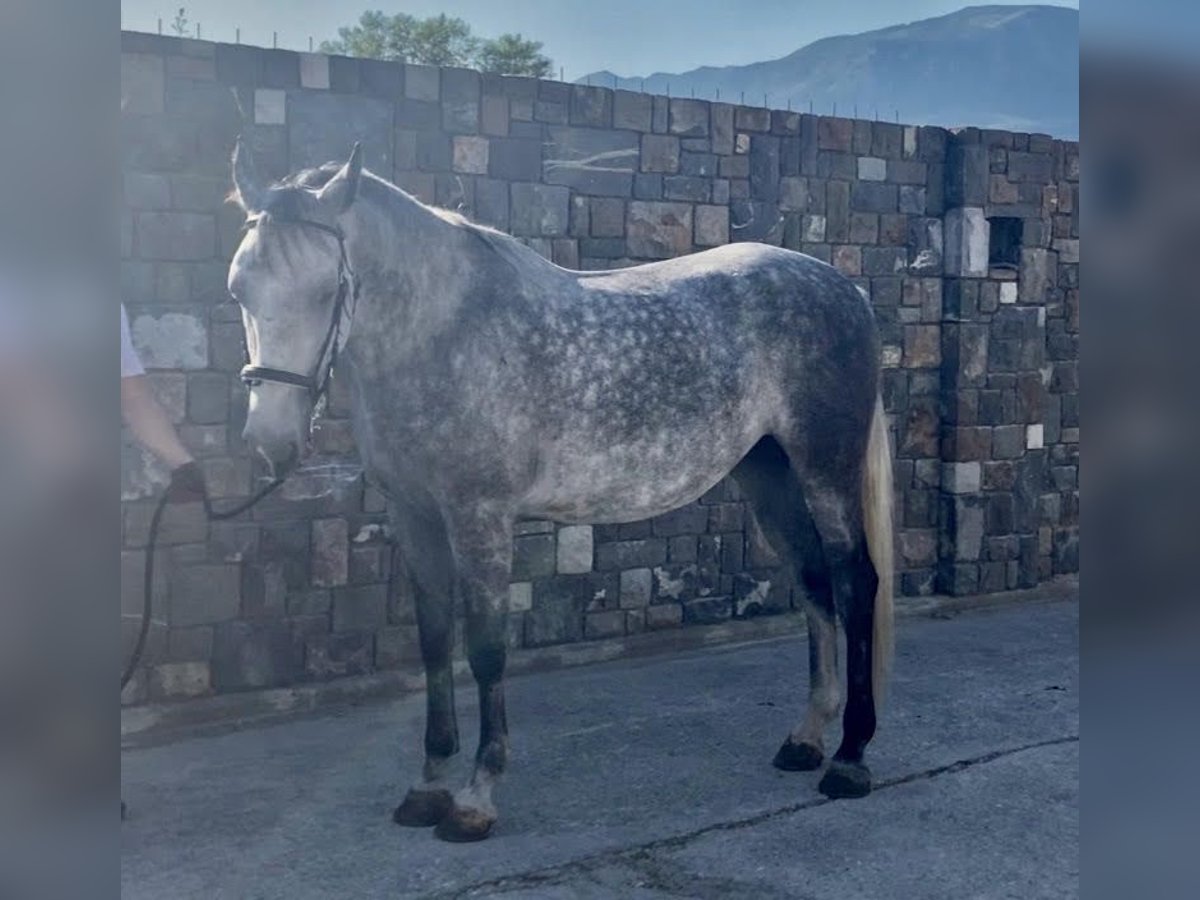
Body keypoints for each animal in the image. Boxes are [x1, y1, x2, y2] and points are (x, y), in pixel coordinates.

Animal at [229, 141, 897, 844]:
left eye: (329, 289)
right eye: (238, 288)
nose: (270, 442)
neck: (443, 333)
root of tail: (843, 287)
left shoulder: (479, 517)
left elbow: (486, 648)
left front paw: (475, 797)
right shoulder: (413, 516)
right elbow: (434, 642)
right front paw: (428, 785)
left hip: (825, 468)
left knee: (856, 582)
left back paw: (850, 758)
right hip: (769, 475)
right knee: (814, 583)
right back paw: (806, 738)